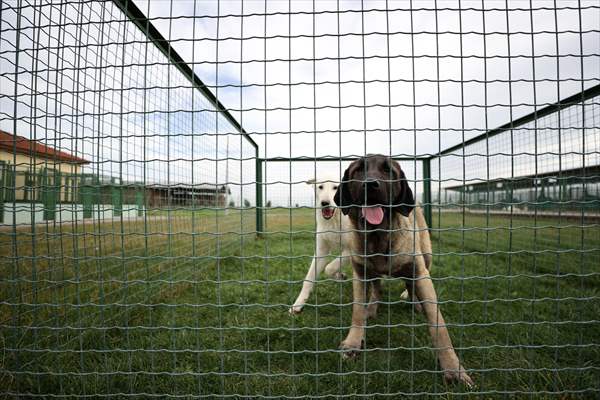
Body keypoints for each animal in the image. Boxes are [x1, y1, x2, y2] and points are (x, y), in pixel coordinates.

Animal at [288, 175, 354, 316]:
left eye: (335, 187)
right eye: (320, 187)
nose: (325, 203)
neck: (335, 219)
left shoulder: (354, 250)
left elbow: (329, 267)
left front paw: (338, 275)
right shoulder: (321, 252)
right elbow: (308, 279)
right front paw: (297, 305)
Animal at [332, 155, 474, 386]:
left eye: (388, 170)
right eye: (358, 170)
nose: (370, 184)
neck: (379, 238)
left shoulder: (419, 272)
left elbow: (438, 326)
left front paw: (453, 368)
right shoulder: (360, 272)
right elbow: (358, 311)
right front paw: (353, 342)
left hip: (426, 256)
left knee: (410, 283)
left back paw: (414, 302)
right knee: (377, 288)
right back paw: (373, 307)